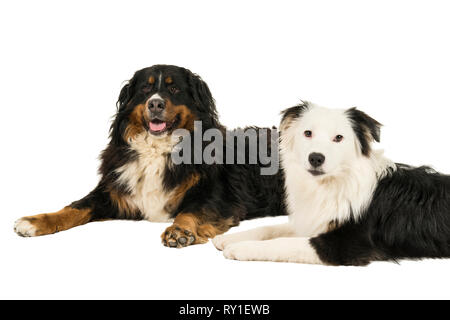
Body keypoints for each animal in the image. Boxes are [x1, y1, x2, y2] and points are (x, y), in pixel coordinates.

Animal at [16, 63, 288, 246]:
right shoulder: (112, 191)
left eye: (174, 88)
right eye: (145, 89)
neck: (158, 149)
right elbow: (74, 207)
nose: (155, 103)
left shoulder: (217, 197)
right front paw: (34, 221)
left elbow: (191, 211)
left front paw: (179, 231)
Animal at [213, 102, 450, 264]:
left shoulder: (346, 245)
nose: (316, 158)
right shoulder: (316, 220)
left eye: (339, 138)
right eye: (308, 133)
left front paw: (242, 247)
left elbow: (283, 243)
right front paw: (230, 238)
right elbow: (271, 228)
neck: (333, 183)